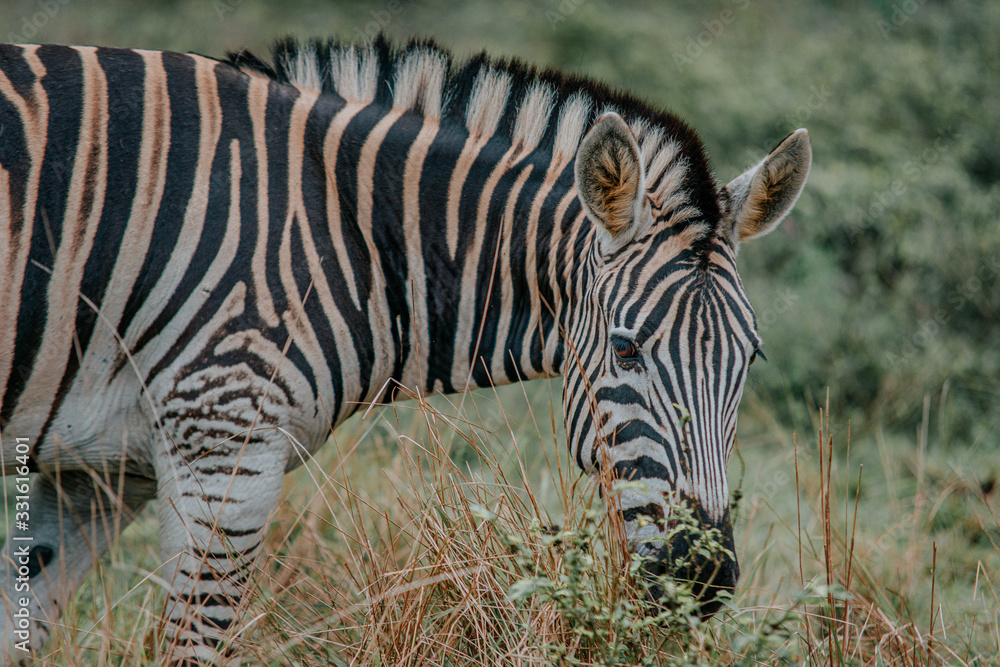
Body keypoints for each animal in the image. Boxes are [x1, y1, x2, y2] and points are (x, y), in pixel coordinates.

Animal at [0, 36, 810, 663]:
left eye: (750, 361)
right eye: (628, 350)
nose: (704, 579)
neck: (346, 233)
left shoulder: (99, 475)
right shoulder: (225, 448)